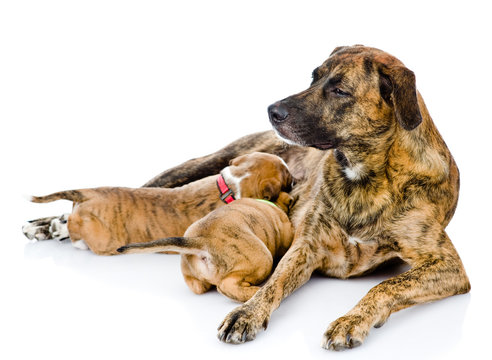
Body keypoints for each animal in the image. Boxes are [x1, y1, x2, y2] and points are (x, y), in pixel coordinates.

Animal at [28, 152, 292, 256]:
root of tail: (88, 193)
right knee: (74, 231)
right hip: (99, 238)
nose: (296, 180)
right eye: (288, 179)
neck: (230, 185)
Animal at [117, 193, 294, 302]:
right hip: (261, 259)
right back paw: (253, 291)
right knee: (226, 285)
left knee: (198, 287)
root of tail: (201, 241)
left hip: (190, 273)